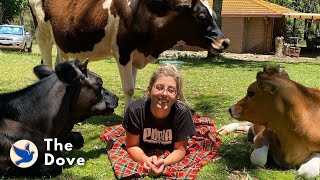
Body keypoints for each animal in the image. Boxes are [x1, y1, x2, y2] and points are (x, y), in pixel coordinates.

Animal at [28, 0, 230, 107]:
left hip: (63, 45)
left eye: (214, 15)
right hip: (43, 35)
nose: (224, 42)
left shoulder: (136, 56)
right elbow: (129, 88)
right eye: (202, 16)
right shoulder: (123, 53)